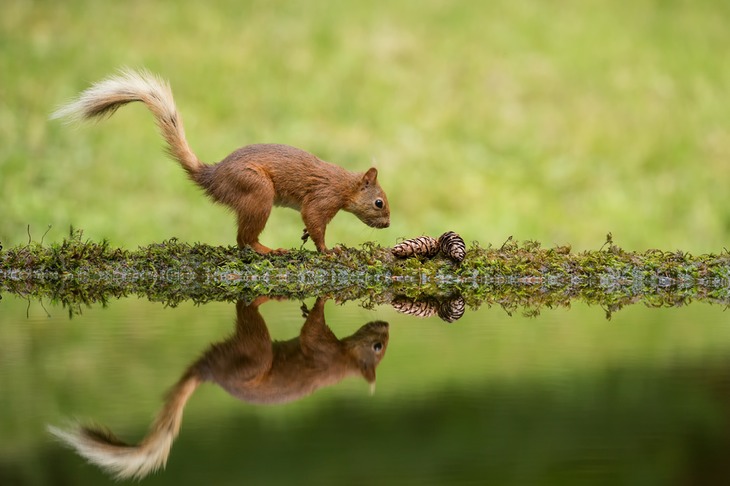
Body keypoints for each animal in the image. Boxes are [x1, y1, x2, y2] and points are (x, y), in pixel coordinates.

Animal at [47, 298, 386, 480]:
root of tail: (209, 372)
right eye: (378, 347)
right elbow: (313, 330)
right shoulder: (322, 353)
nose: (386, 326)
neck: (341, 363)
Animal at [52, 70, 390, 252]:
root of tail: (212, 176)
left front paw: (308, 237)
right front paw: (328, 250)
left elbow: (309, 224)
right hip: (257, 192)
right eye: (379, 203)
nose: (387, 225)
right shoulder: (323, 197)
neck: (345, 185)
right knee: (243, 240)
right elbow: (315, 220)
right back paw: (269, 250)